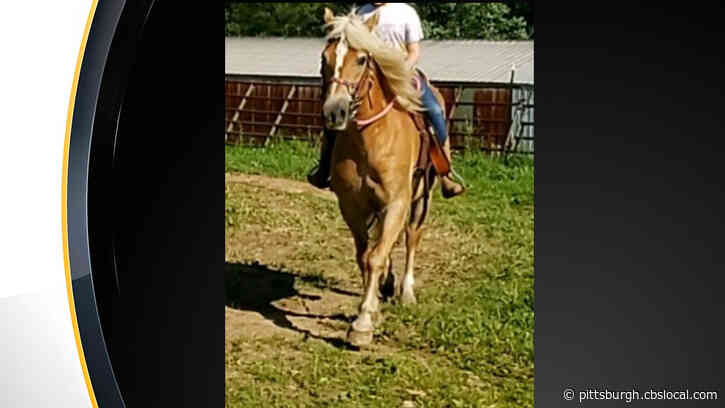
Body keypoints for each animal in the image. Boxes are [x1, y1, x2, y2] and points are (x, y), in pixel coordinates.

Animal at [320, 8, 449, 347]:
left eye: (363, 59)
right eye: (324, 57)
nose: (335, 112)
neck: (372, 140)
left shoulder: (397, 202)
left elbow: (377, 256)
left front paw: (363, 323)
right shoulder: (352, 206)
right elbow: (365, 255)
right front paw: (372, 306)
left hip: (421, 199)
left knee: (411, 237)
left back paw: (405, 292)